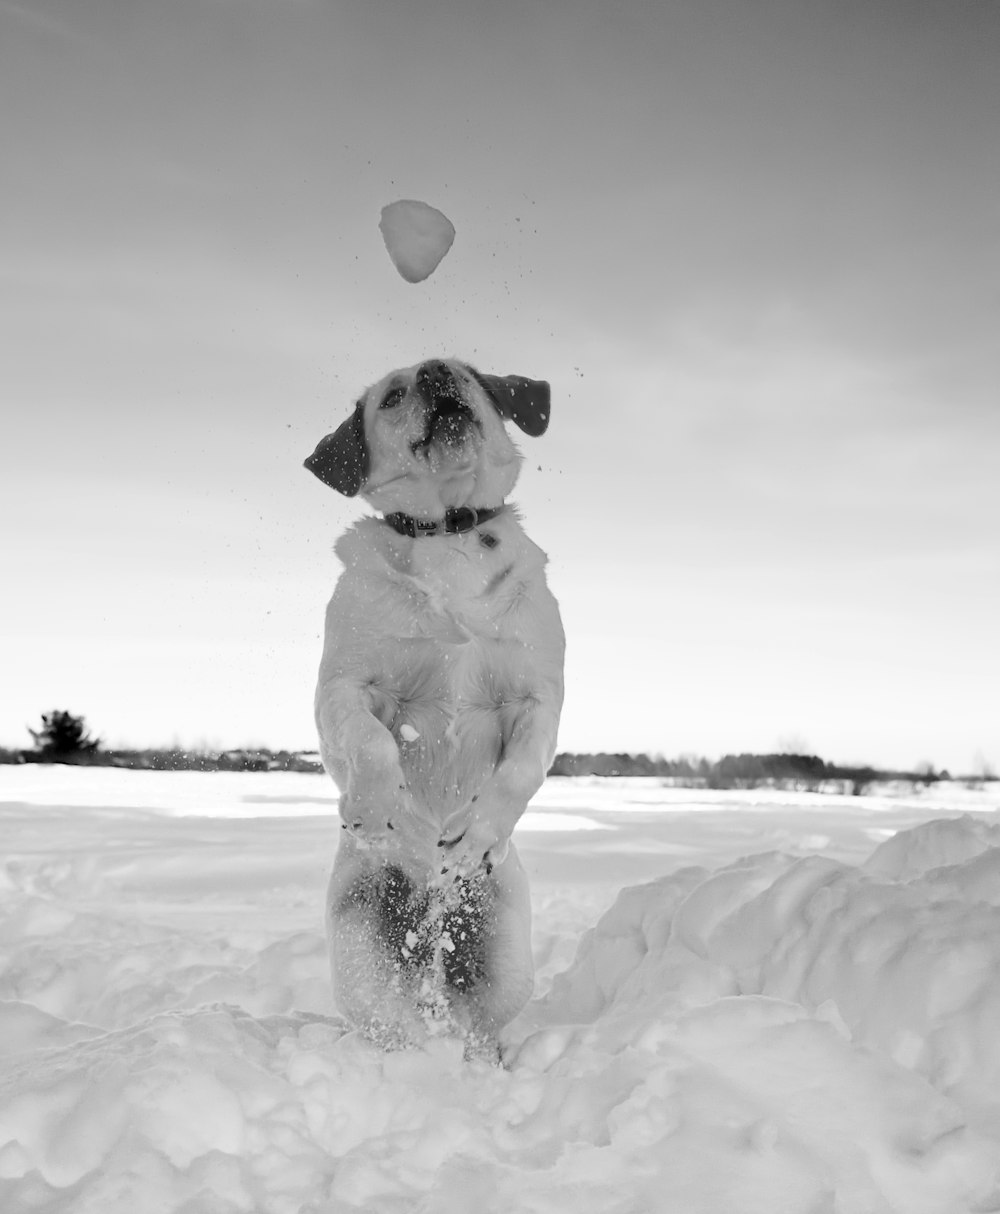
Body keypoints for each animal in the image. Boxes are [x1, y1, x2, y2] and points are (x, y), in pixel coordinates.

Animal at [304, 356, 565, 1053]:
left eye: (467, 370)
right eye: (393, 396)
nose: (435, 370)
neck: (447, 532)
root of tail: (430, 915)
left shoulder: (538, 699)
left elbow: (519, 773)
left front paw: (474, 836)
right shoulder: (345, 687)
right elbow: (371, 743)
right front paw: (374, 808)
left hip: (507, 953)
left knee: (478, 1027)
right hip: (360, 943)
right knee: (388, 1025)